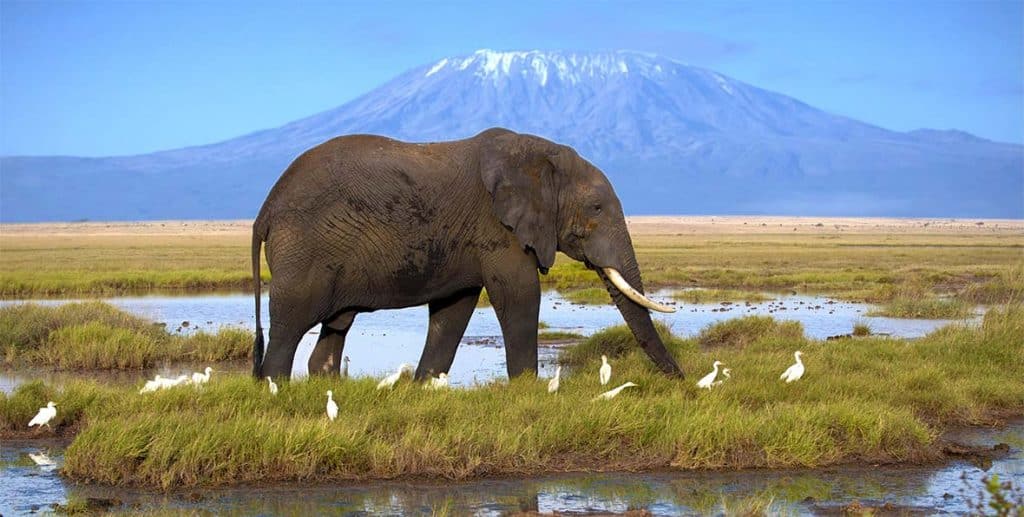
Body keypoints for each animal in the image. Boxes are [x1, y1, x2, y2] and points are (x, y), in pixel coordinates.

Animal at [250, 127, 685, 381]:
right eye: (596, 208)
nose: (682, 383)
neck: (539, 154)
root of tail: (265, 208)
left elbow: (453, 310)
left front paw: (424, 387)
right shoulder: (497, 228)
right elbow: (519, 295)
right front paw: (526, 390)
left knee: (336, 326)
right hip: (304, 249)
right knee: (289, 325)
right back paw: (276, 389)